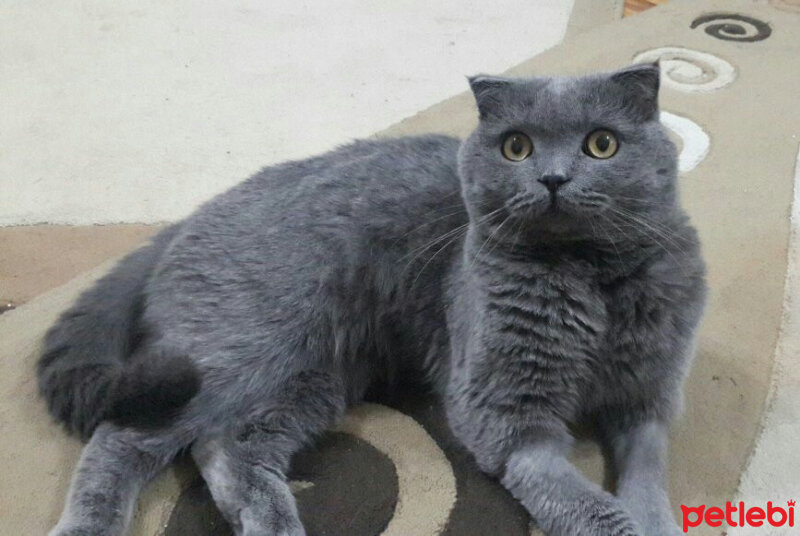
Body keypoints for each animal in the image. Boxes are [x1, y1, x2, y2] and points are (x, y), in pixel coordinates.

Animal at [39, 63, 708, 536]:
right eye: (516, 147)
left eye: (602, 144)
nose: (552, 179)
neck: (590, 282)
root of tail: (184, 219)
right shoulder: (501, 412)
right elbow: (583, 501)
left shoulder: (649, 399)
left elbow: (648, 480)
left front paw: (655, 521)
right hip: (238, 351)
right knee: (126, 437)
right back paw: (88, 527)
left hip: (317, 373)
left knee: (229, 447)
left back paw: (271, 524)